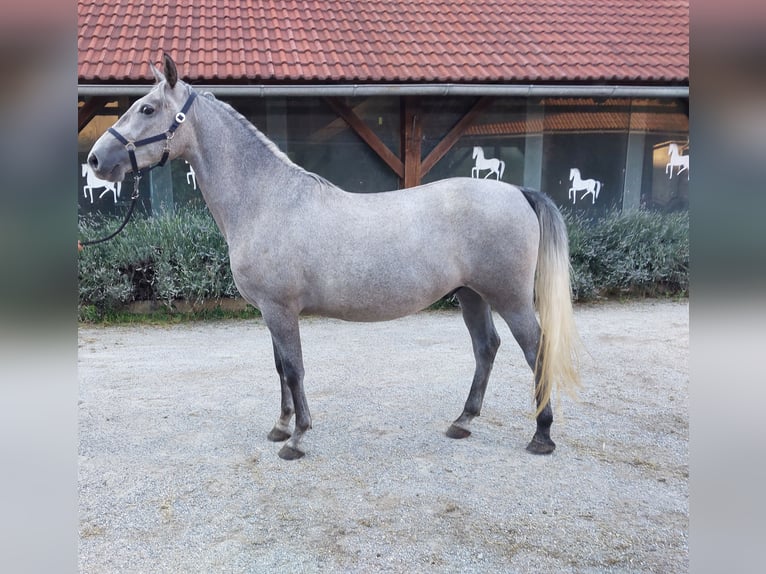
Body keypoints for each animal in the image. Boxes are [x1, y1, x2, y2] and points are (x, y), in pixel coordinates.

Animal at [88, 55, 584, 464]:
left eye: (147, 109)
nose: (95, 160)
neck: (266, 200)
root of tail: (518, 191)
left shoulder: (280, 310)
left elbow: (294, 369)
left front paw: (297, 438)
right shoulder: (271, 311)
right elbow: (281, 368)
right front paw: (280, 427)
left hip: (510, 298)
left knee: (536, 350)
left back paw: (542, 436)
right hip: (471, 295)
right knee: (486, 348)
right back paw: (462, 421)